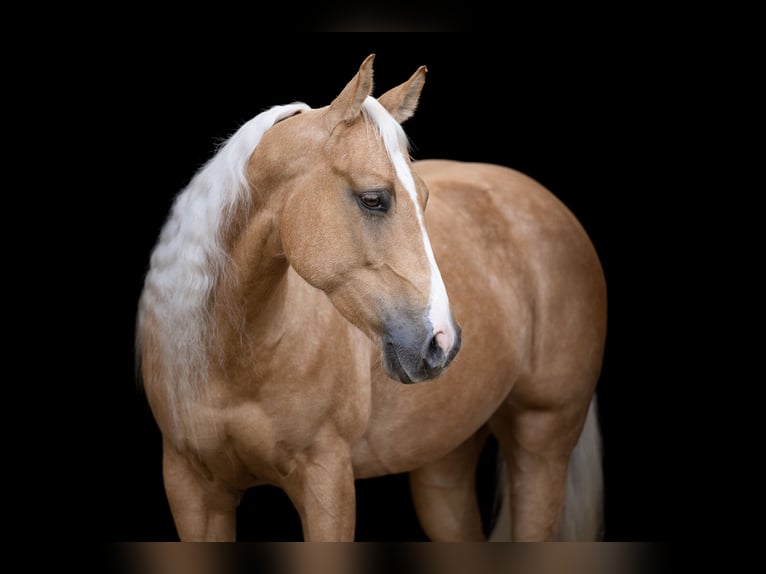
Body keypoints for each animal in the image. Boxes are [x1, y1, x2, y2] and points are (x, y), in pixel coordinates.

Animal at [136, 54, 607, 542]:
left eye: (423, 196)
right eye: (374, 199)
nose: (442, 340)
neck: (235, 360)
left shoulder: (327, 480)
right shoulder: (192, 490)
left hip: (542, 440)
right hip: (445, 464)